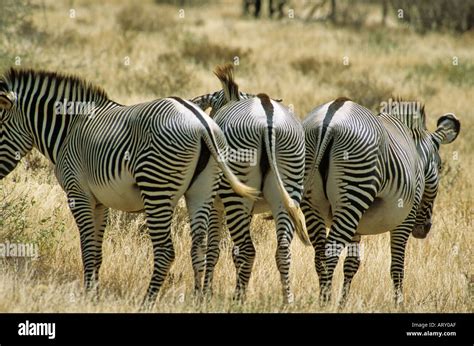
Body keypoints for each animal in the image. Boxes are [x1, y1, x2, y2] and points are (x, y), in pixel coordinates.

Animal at [0, 67, 260, 306]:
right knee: (198, 247)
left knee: (165, 251)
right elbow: (97, 250)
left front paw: (87, 295)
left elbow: (87, 247)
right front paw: (94, 293)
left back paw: (147, 301)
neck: (69, 130)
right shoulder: (100, 202)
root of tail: (201, 123)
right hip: (202, 192)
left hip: (156, 188)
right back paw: (197, 301)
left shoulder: (78, 194)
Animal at [191, 65, 310, 302]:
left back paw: (238, 298)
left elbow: (214, 250)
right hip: (288, 189)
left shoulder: (216, 206)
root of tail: (267, 117)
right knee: (283, 250)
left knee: (247, 249)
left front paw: (207, 293)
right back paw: (287, 299)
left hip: (237, 196)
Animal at [302, 96, 462, 306]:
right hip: (353, 192)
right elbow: (397, 267)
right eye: (441, 166)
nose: (425, 229)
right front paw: (399, 305)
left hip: (313, 203)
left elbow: (352, 264)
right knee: (330, 254)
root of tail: (331, 118)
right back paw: (325, 304)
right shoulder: (405, 219)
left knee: (320, 257)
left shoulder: (357, 227)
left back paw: (324, 302)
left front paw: (342, 304)